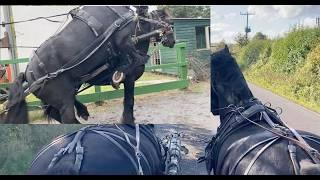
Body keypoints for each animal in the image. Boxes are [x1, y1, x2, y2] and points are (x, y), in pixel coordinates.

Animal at [1, 5, 175, 124]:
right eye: (169, 22)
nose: (172, 41)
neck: (136, 30)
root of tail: (29, 74)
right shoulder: (129, 71)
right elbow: (129, 101)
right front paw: (128, 121)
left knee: (56, 113)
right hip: (63, 100)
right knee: (67, 118)